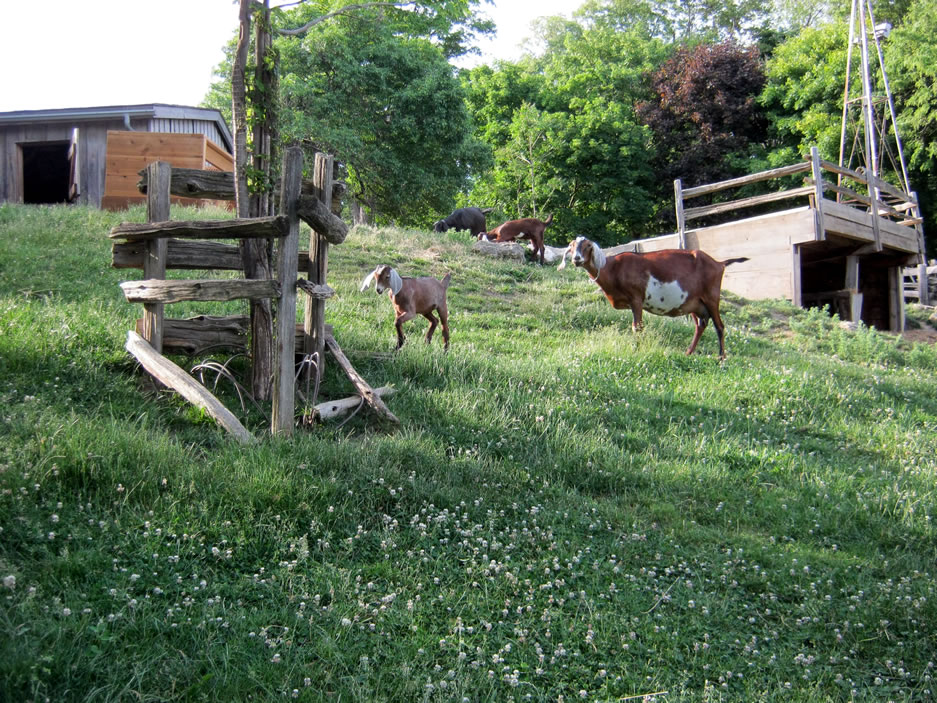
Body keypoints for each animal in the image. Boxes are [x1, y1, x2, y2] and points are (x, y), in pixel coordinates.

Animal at [558, 236, 748, 359]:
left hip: (711, 296)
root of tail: (719, 264)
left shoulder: (636, 298)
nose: (576, 259)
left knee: (719, 326)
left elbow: (637, 327)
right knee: (700, 325)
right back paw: (688, 352)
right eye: (572, 246)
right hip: (694, 303)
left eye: (587, 246)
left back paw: (721, 357)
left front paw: (636, 349)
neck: (612, 268)